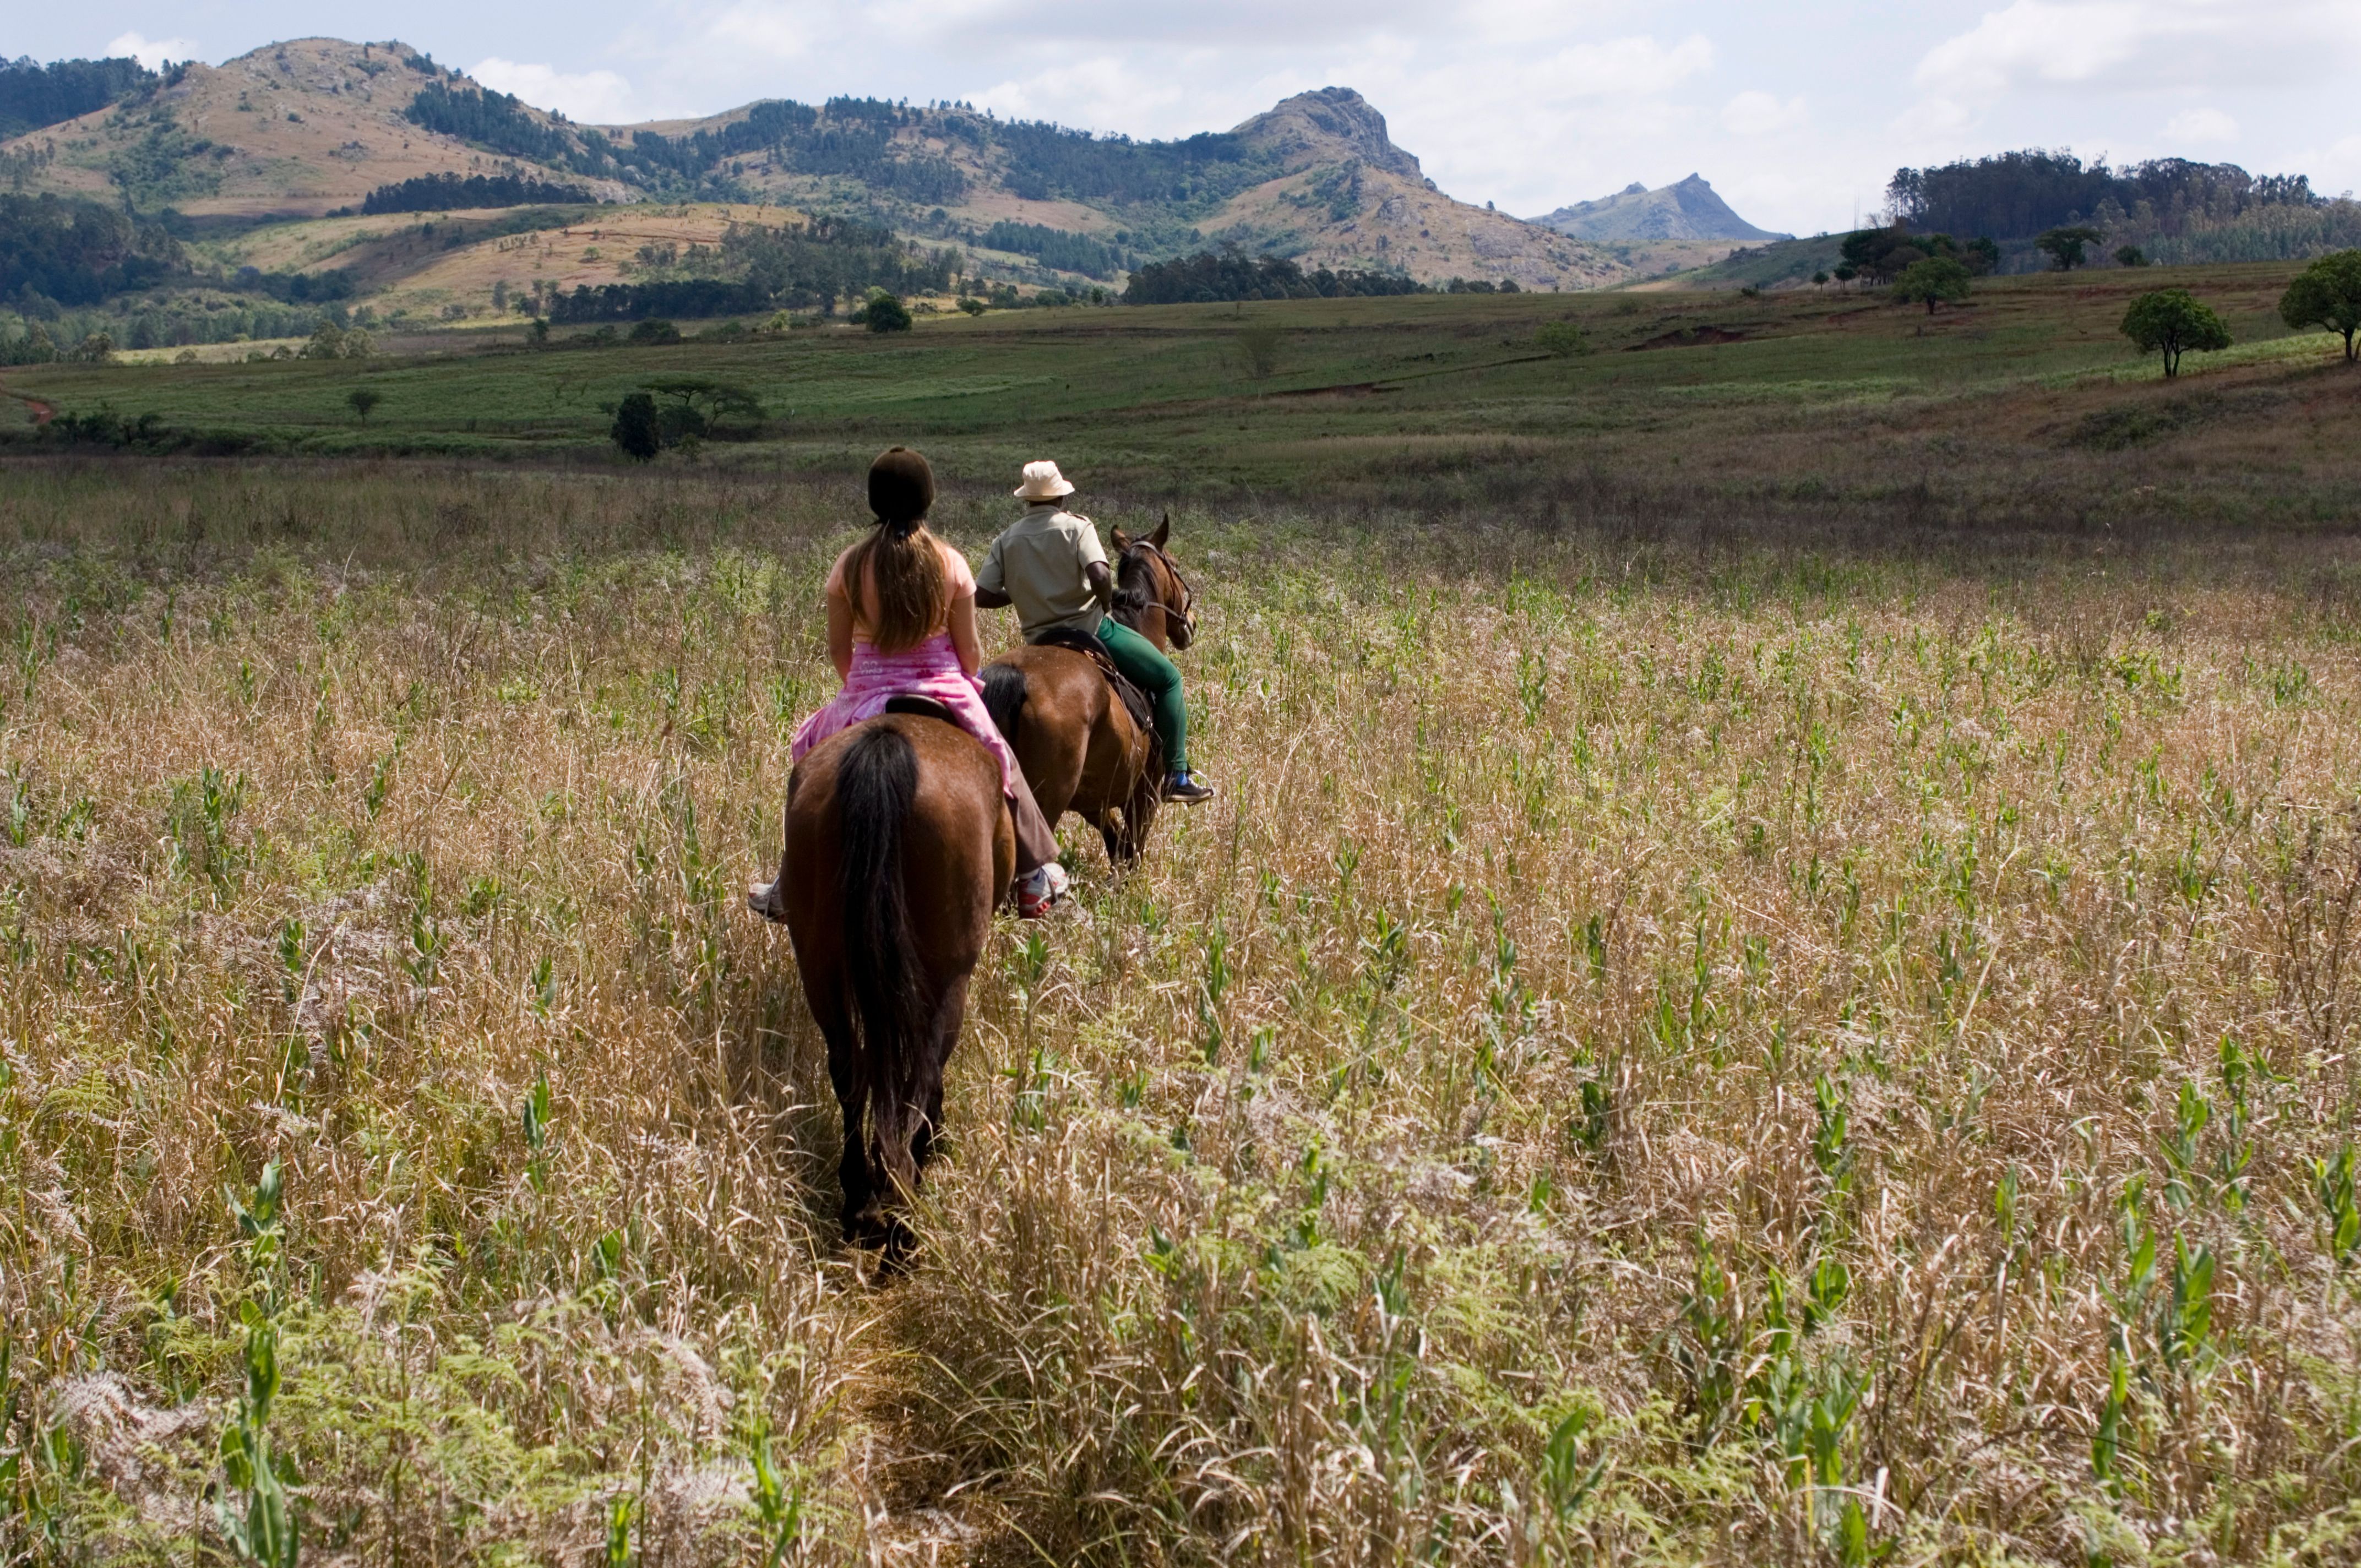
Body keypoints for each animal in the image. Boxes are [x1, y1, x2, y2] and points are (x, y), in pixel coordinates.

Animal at [773, 706, 1013, 1250]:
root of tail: (885, 752)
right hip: (949, 976)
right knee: (922, 1077)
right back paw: (903, 1222)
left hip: (818, 962)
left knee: (849, 1070)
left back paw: (859, 1197)